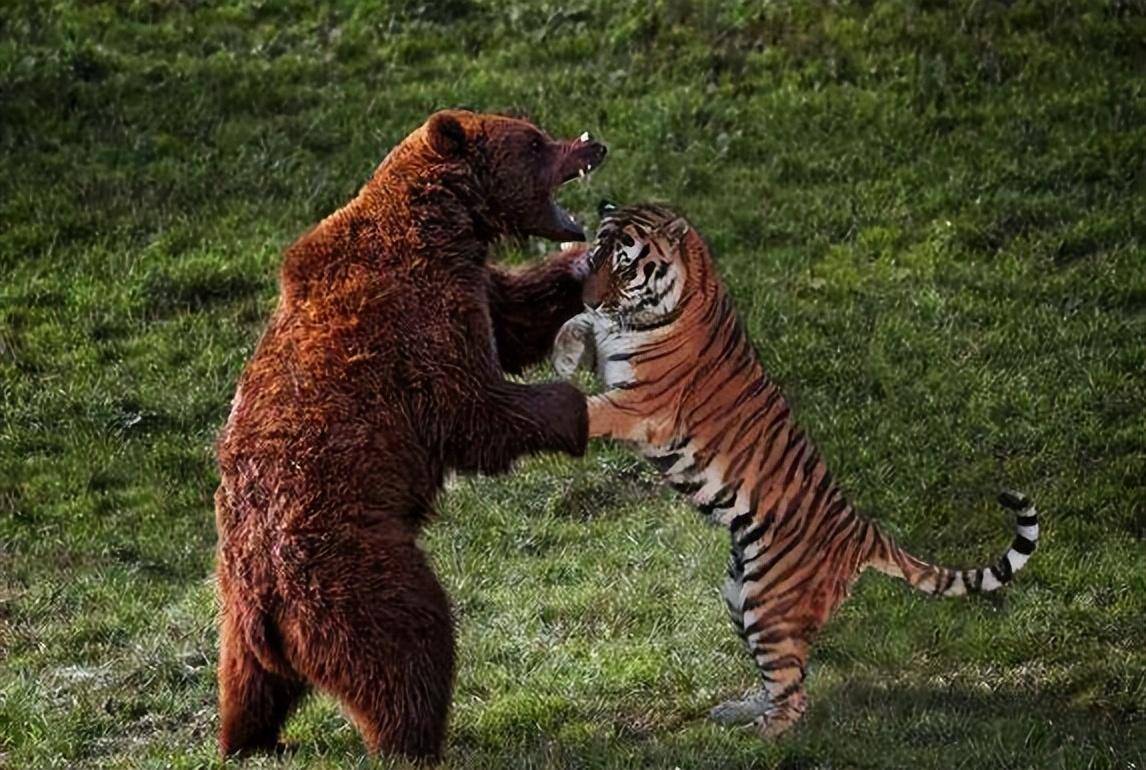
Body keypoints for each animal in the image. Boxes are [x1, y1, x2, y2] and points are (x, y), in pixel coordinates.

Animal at [213, 109, 607, 760]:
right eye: (534, 141)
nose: (591, 144)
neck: (445, 224)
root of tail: (264, 602)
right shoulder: (417, 317)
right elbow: (474, 409)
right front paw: (573, 407)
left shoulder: (472, 284)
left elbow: (515, 316)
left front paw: (583, 263)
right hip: (352, 574)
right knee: (409, 645)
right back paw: (415, 741)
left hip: (236, 621)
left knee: (248, 686)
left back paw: (250, 740)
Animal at [552, 201, 1040, 737]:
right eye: (595, 258)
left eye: (624, 266)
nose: (591, 297)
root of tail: (865, 532)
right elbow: (581, 329)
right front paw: (565, 350)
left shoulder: (641, 405)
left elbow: (589, 407)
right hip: (737, 593)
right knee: (779, 680)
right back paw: (740, 709)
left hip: (769, 604)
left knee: (793, 694)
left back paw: (758, 735)